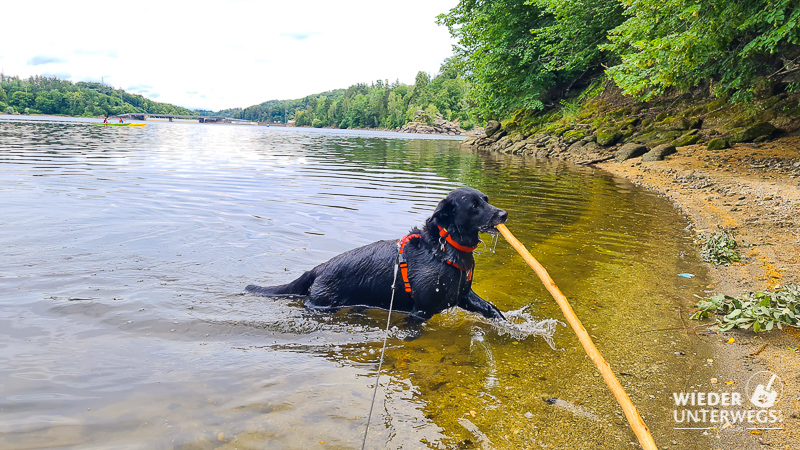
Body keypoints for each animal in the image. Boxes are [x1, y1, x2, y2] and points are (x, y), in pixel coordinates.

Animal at [244, 187, 506, 324]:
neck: (444, 250)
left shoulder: (464, 296)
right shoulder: (420, 311)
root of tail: (319, 267)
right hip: (324, 304)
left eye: (486, 200)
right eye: (473, 206)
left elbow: (491, 308)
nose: (503, 214)